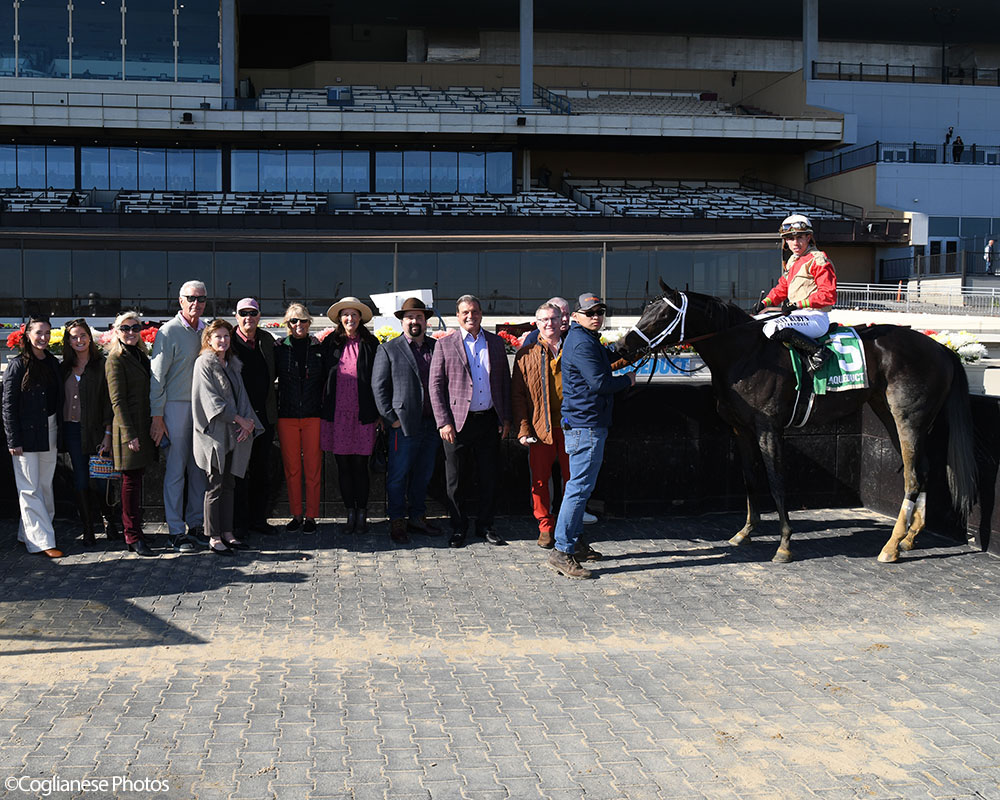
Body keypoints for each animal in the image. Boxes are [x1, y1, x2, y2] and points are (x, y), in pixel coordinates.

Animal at [612, 282, 980, 564]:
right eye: (646, 309)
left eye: (663, 315)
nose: (622, 345)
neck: (745, 354)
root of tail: (941, 349)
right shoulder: (741, 429)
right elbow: (749, 480)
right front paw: (744, 532)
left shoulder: (769, 430)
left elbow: (776, 482)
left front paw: (785, 545)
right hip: (891, 413)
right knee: (924, 468)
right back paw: (909, 537)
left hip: (907, 418)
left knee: (913, 476)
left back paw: (891, 546)